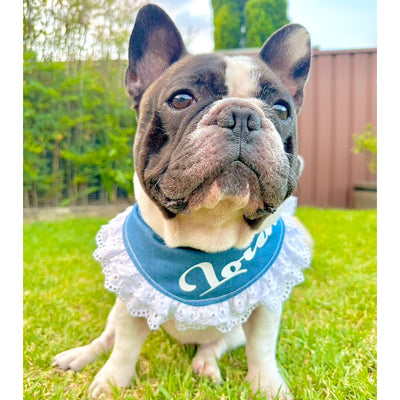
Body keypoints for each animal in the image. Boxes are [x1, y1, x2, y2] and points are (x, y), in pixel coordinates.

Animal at [54, 3, 312, 400]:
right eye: (181, 99)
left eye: (282, 110)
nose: (242, 115)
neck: (209, 234)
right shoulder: (132, 301)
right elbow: (125, 345)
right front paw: (112, 381)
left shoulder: (265, 305)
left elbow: (263, 347)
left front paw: (268, 385)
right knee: (108, 337)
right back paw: (81, 355)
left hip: (232, 331)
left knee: (217, 344)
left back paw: (205, 363)